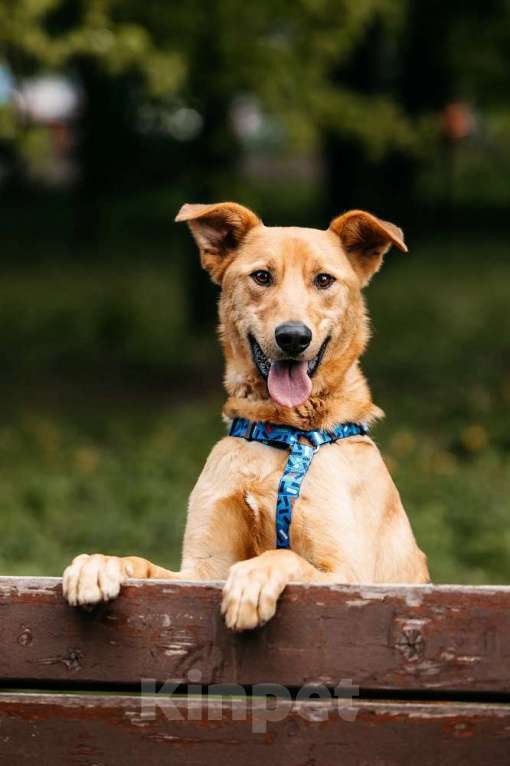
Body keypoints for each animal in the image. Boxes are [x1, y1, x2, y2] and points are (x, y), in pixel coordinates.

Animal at [63, 202, 430, 632]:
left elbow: (283, 555)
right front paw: (100, 564)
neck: (282, 432)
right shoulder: (200, 572)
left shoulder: (350, 574)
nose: (293, 337)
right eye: (261, 276)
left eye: (324, 279)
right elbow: (144, 563)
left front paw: (253, 579)